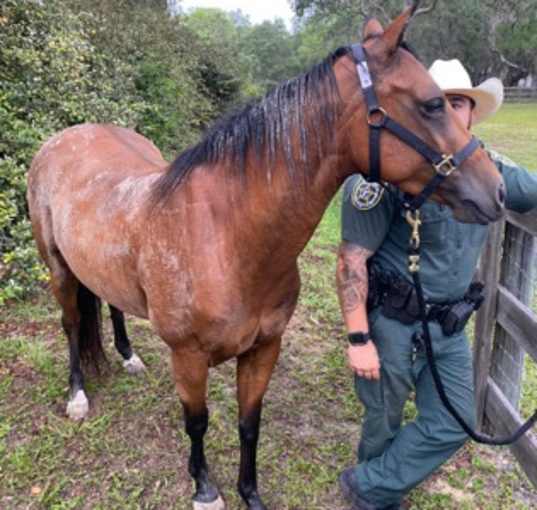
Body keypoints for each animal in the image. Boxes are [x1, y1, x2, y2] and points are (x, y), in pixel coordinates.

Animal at [25, 4, 502, 510]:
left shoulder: (263, 349)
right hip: (58, 268)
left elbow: (249, 424)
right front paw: (205, 488)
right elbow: (197, 423)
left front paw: (249, 493)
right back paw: (77, 396)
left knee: (111, 304)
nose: (496, 190)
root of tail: (65, 138)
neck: (229, 240)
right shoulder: (188, 358)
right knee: (72, 323)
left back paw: (129, 357)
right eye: (432, 104)